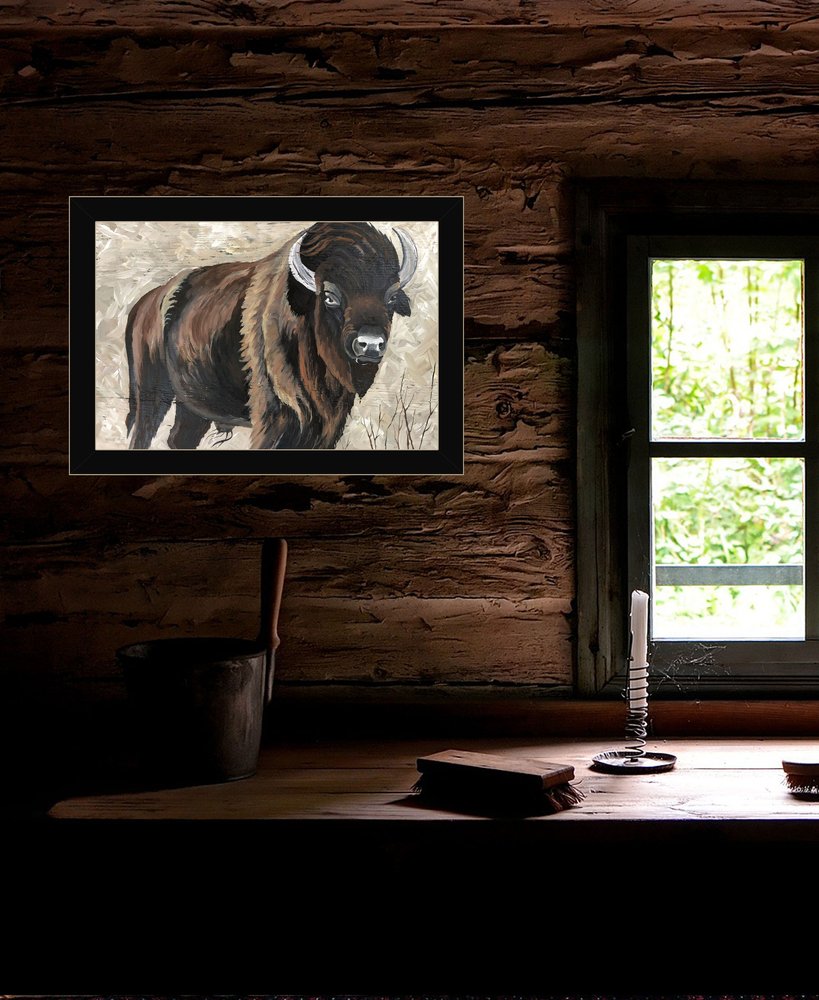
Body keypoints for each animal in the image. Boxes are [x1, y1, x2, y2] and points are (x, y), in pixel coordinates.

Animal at [124, 221, 418, 449]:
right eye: (330, 296)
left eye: (391, 298)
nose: (371, 344)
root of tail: (145, 303)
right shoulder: (276, 419)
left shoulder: (329, 424)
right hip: (150, 393)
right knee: (142, 434)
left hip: (193, 406)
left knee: (179, 438)